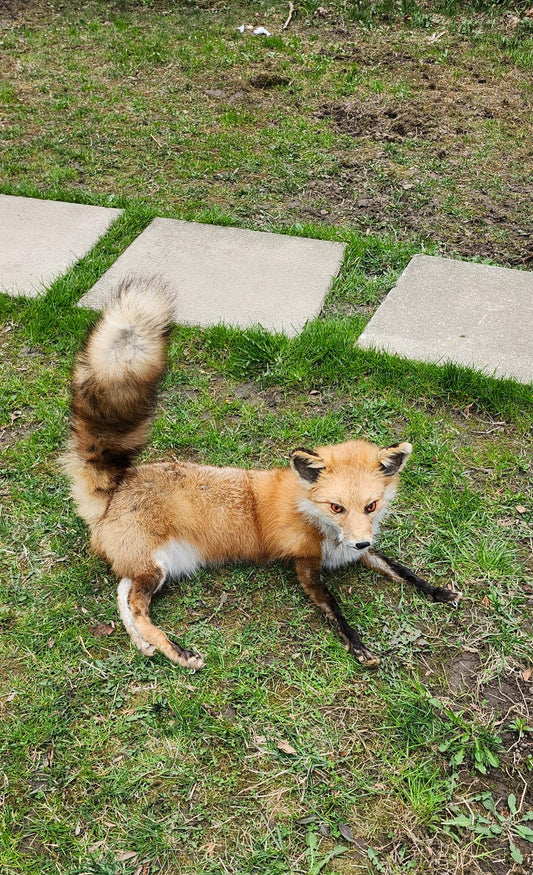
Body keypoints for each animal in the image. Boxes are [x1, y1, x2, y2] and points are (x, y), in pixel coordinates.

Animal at [62, 277, 461, 670]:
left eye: (371, 506)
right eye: (336, 507)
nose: (361, 541)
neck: (315, 520)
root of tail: (117, 486)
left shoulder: (353, 549)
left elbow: (401, 569)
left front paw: (438, 590)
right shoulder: (305, 565)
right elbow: (334, 609)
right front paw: (358, 646)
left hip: (153, 569)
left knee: (123, 596)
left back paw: (144, 645)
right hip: (153, 568)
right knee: (136, 606)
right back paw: (178, 653)